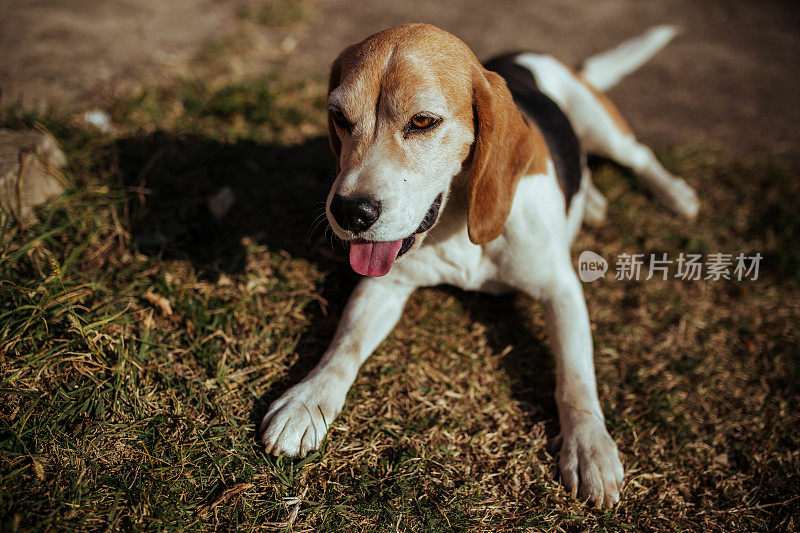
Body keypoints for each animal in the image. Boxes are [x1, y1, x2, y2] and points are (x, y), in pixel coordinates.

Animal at [260, 23, 696, 508]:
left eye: (423, 121)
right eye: (339, 116)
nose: (350, 212)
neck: (457, 218)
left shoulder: (561, 288)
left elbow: (576, 375)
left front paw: (589, 445)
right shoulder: (387, 285)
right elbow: (345, 347)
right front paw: (307, 399)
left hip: (602, 127)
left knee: (639, 154)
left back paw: (675, 194)